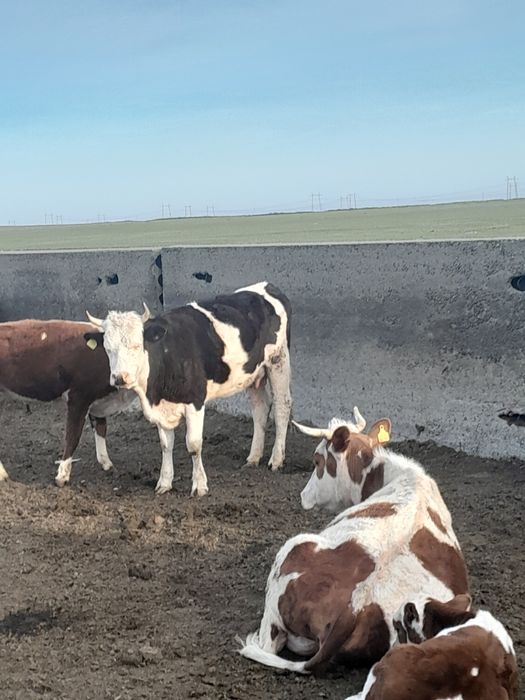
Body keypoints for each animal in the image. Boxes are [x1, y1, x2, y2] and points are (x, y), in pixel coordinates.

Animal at [0, 319, 137, 486]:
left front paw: (107, 463)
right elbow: (73, 436)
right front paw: (62, 476)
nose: (124, 376)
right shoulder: (78, 397)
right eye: (111, 348)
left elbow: (101, 428)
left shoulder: (97, 401)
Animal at [85, 281, 292, 496]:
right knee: (260, 409)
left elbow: (193, 444)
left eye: (136, 345)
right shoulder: (162, 406)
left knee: (282, 406)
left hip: (279, 360)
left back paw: (276, 460)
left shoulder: (195, 400)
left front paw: (199, 486)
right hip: (253, 373)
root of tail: (267, 286)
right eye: (108, 348)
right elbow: (165, 445)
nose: (120, 378)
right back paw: (253, 458)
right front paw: (164, 483)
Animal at [238, 408, 468, 674]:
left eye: (317, 461)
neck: (396, 476)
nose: (303, 495)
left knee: (269, 644)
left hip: (292, 550)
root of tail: (353, 607)